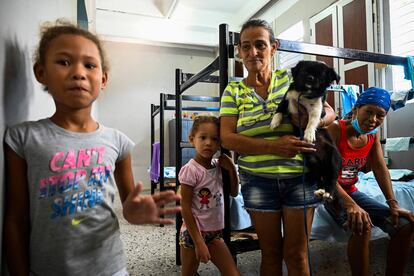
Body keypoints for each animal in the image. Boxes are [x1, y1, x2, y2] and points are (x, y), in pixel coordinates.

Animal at [270, 60, 342, 199]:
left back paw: (328, 193)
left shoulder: (317, 108)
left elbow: (312, 121)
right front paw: (274, 121)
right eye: (304, 71)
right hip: (313, 162)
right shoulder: (287, 99)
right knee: (319, 178)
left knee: (332, 179)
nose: (310, 78)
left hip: (334, 159)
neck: (304, 94)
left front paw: (309, 134)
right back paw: (320, 190)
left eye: (320, 76)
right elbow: (279, 109)